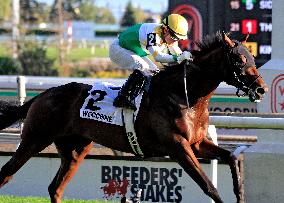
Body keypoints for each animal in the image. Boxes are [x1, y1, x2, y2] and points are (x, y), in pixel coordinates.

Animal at [0, 32, 268, 203]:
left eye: (253, 58)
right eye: (239, 59)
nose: (261, 89)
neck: (183, 95)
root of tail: (42, 95)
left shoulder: (198, 143)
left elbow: (231, 158)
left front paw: (240, 193)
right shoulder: (178, 147)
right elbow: (209, 187)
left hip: (75, 150)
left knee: (55, 188)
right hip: (34, 139)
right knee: (7, 173)